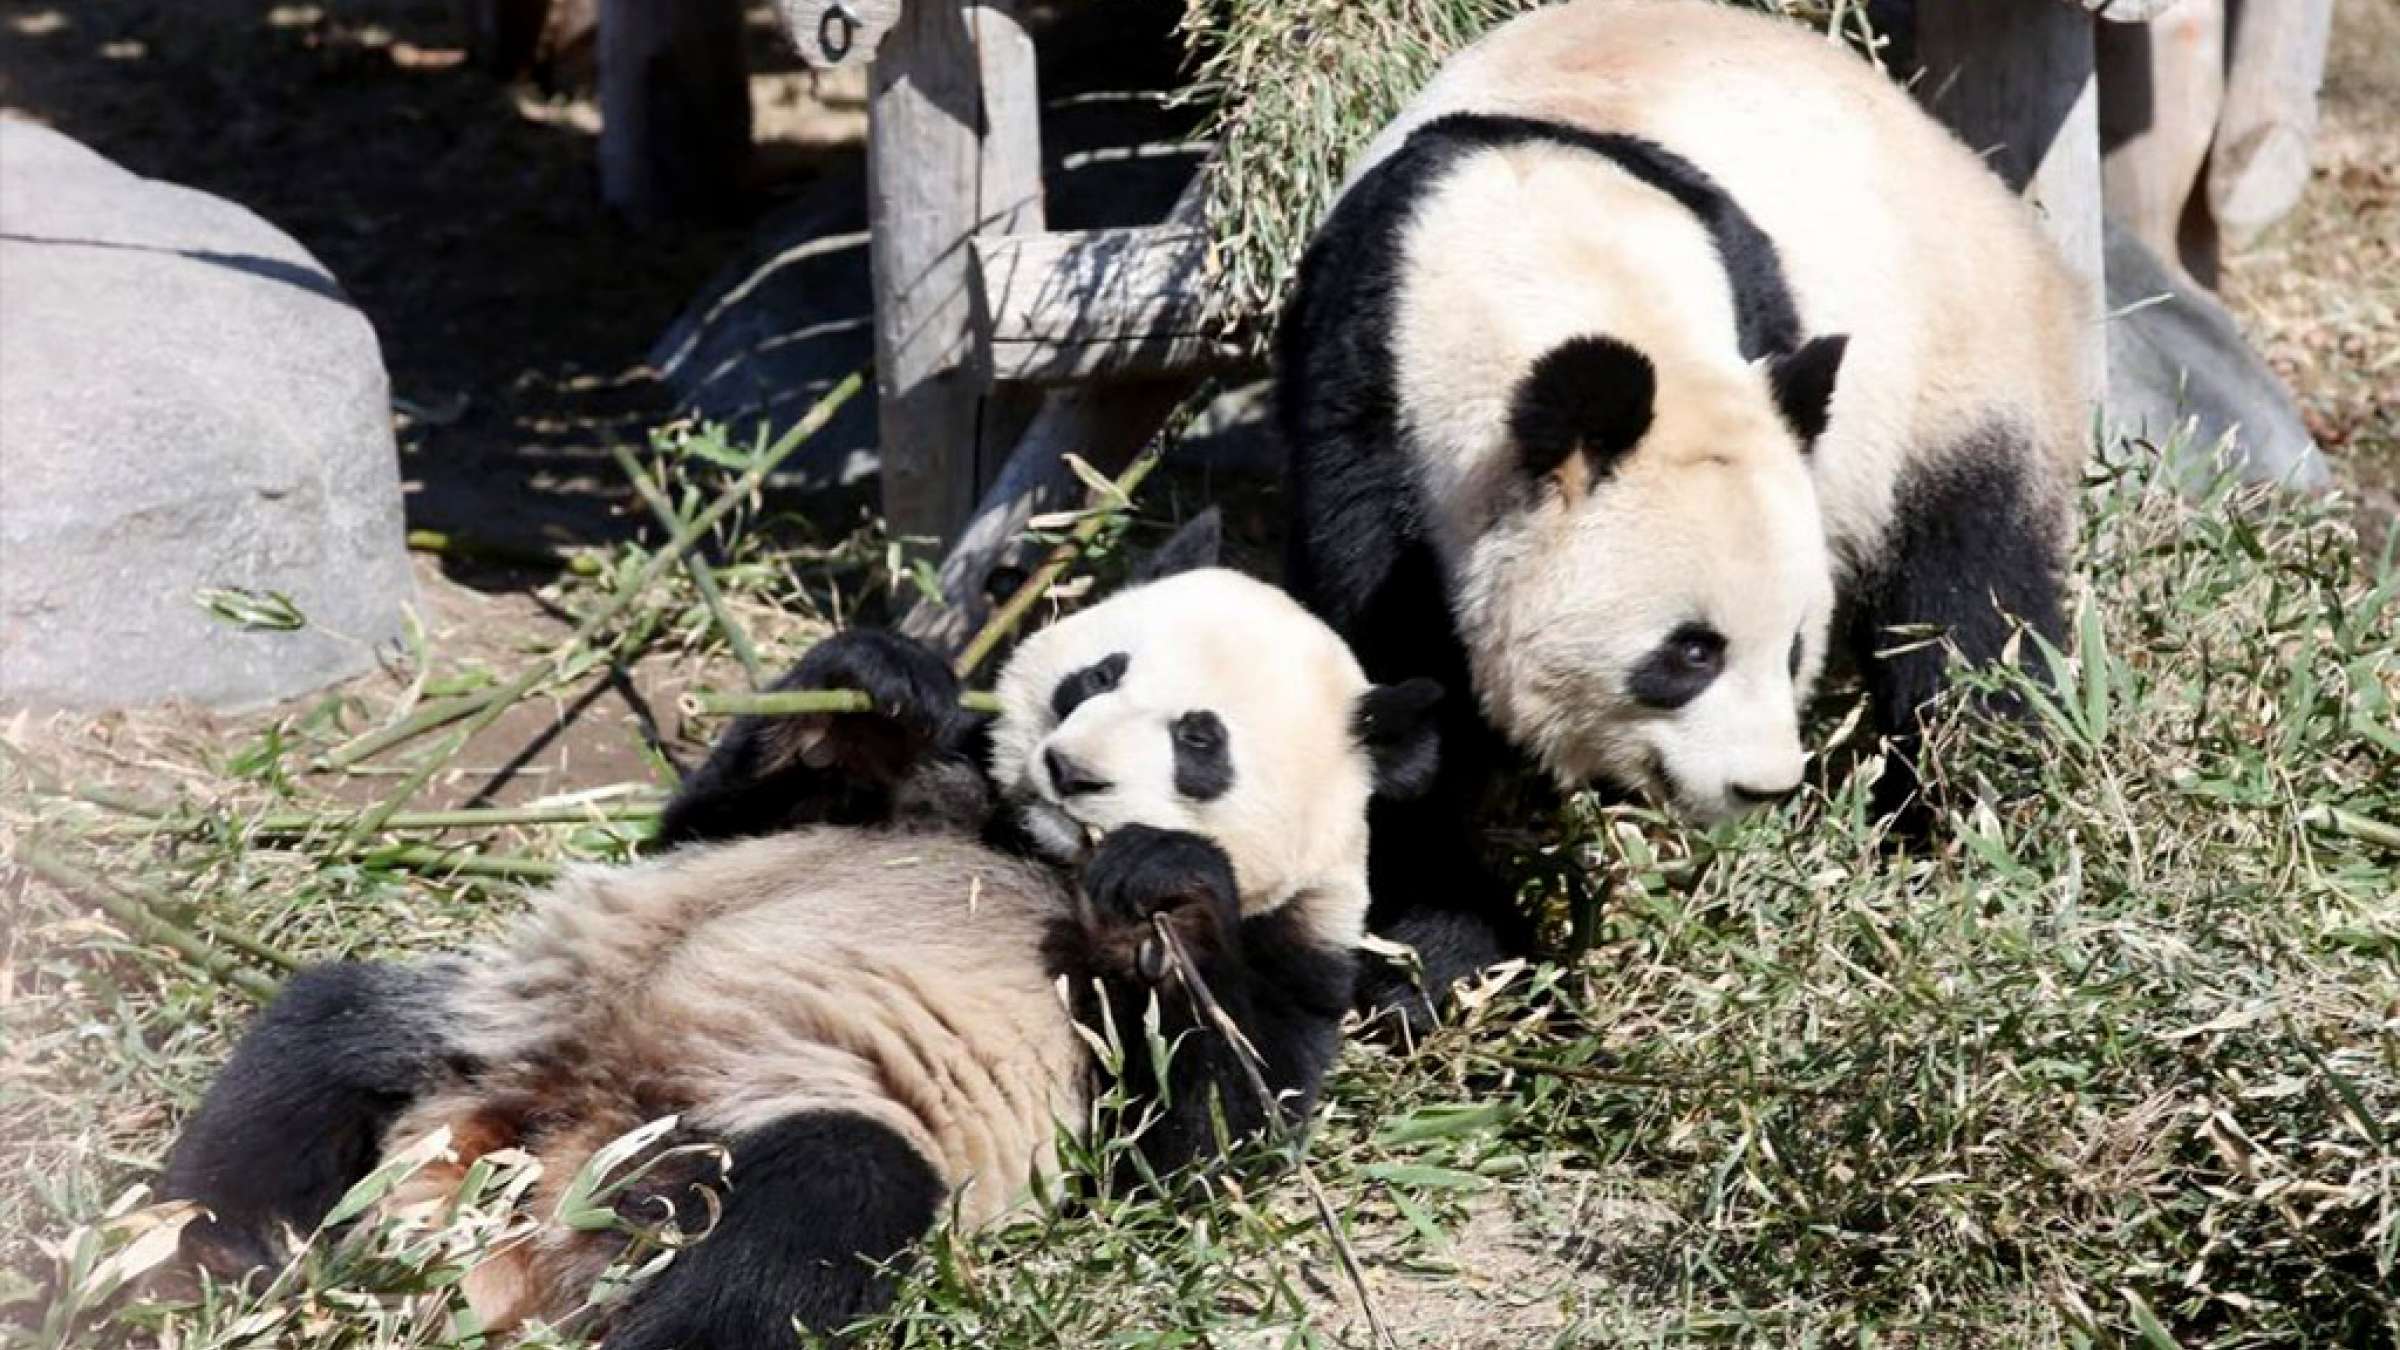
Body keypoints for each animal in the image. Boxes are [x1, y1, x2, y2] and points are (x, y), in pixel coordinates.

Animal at [160, 515, 1442, 1349]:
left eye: (1199, 742)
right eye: (1095, 676)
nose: (1069, 770)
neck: (1032, 851)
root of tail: (544, 1178)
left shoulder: (1298, 954)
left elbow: (1194, 1148)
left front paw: (1166, 884)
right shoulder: (925, 793)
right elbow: (721, 818)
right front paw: (875, 684)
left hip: (758, 1119)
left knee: (809, 1219)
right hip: (491, 1022)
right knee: (323, 1034)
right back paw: (204, 1262)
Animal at [1275, 0, 2094, 1018]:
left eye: (1792, 649)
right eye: (1690, 652)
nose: (1762, 786)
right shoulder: (1356, 409)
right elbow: (1384, 692)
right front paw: (1456, 968)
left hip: (1955, 374)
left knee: (1973, 618)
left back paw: (1967, 826)